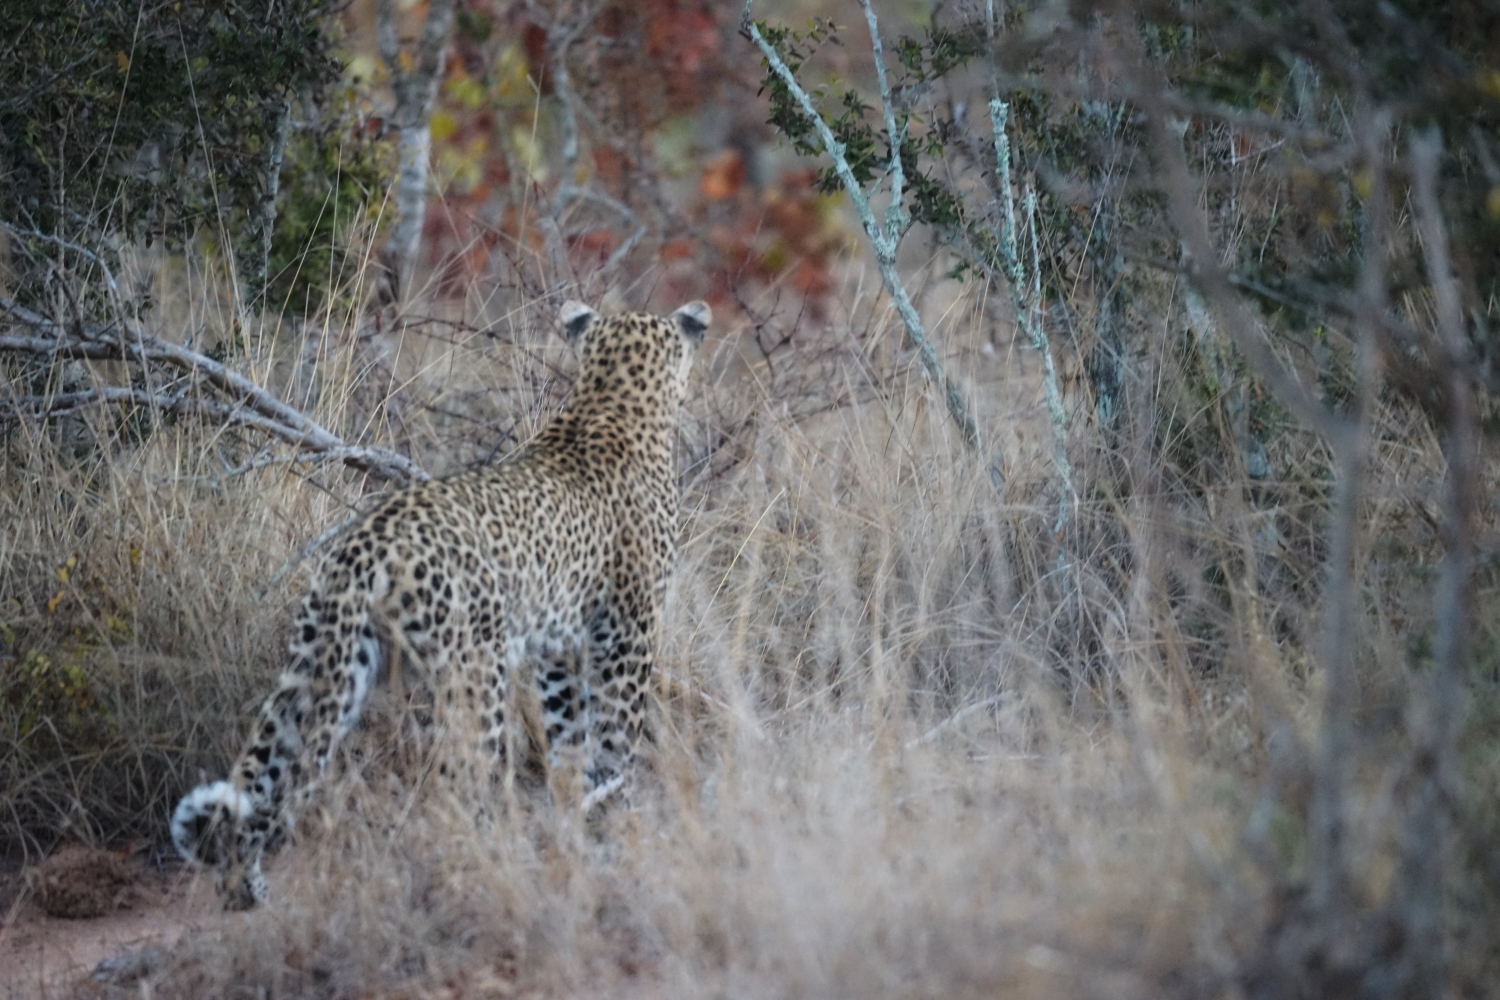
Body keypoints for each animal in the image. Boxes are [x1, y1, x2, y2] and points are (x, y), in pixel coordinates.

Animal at [172, 296, 711, 905]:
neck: (611, 398)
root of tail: (366, 543)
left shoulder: (560, 649)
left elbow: (569, 741)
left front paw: (577, 816)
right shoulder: (628, 633)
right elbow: (619, 735)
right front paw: (618, 820)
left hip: (323, 663)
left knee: (256, 775)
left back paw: (246, 890)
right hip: (476, 668)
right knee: (457, 779)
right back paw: (490, 867)